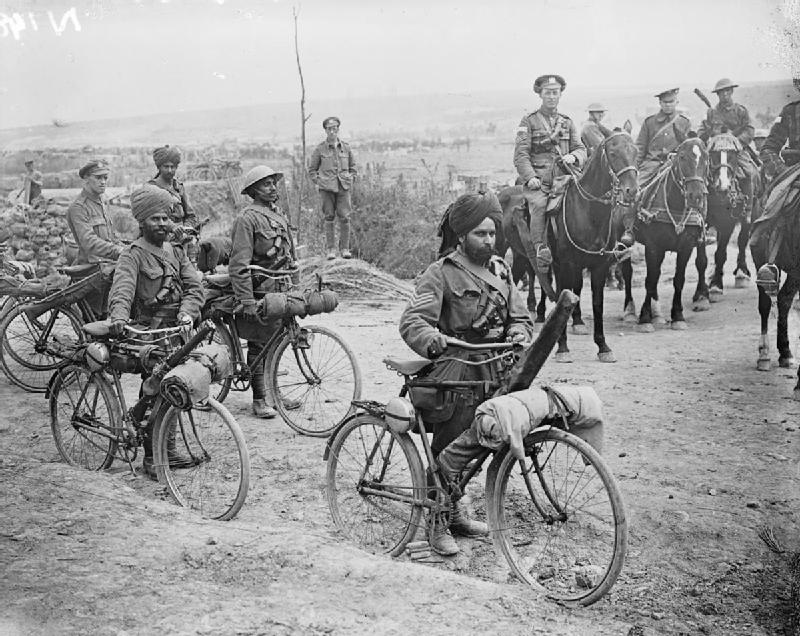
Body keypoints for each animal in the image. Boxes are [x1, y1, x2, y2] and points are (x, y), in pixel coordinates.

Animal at [500, 131, 636, 360]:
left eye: (635, 150)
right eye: (613, 153)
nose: (632, 190)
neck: (587, 212)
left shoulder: (598, 266)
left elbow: (596, 303)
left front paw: (603, 346)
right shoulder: (565, 265)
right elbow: (563, 300)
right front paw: (562, 347)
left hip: (521, 256)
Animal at [620, 136, 708, 330]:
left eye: (706, 159)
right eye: (682, 157)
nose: (696, 196)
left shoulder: (686, 247)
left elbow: (678, 280)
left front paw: (678, 316)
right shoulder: (653, 247)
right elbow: (650, 280)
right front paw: (645, 318)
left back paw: (658, 314)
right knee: (627, 272)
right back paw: (630, 311)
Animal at [696, 132, 760, 298]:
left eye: (732, 156)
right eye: (713, 155)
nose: (723, 186)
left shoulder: (727, 224)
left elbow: (720, 253)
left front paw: (716, 285)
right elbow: (702, 258)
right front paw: (702, 290)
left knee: (742, 241)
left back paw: (741, 273)